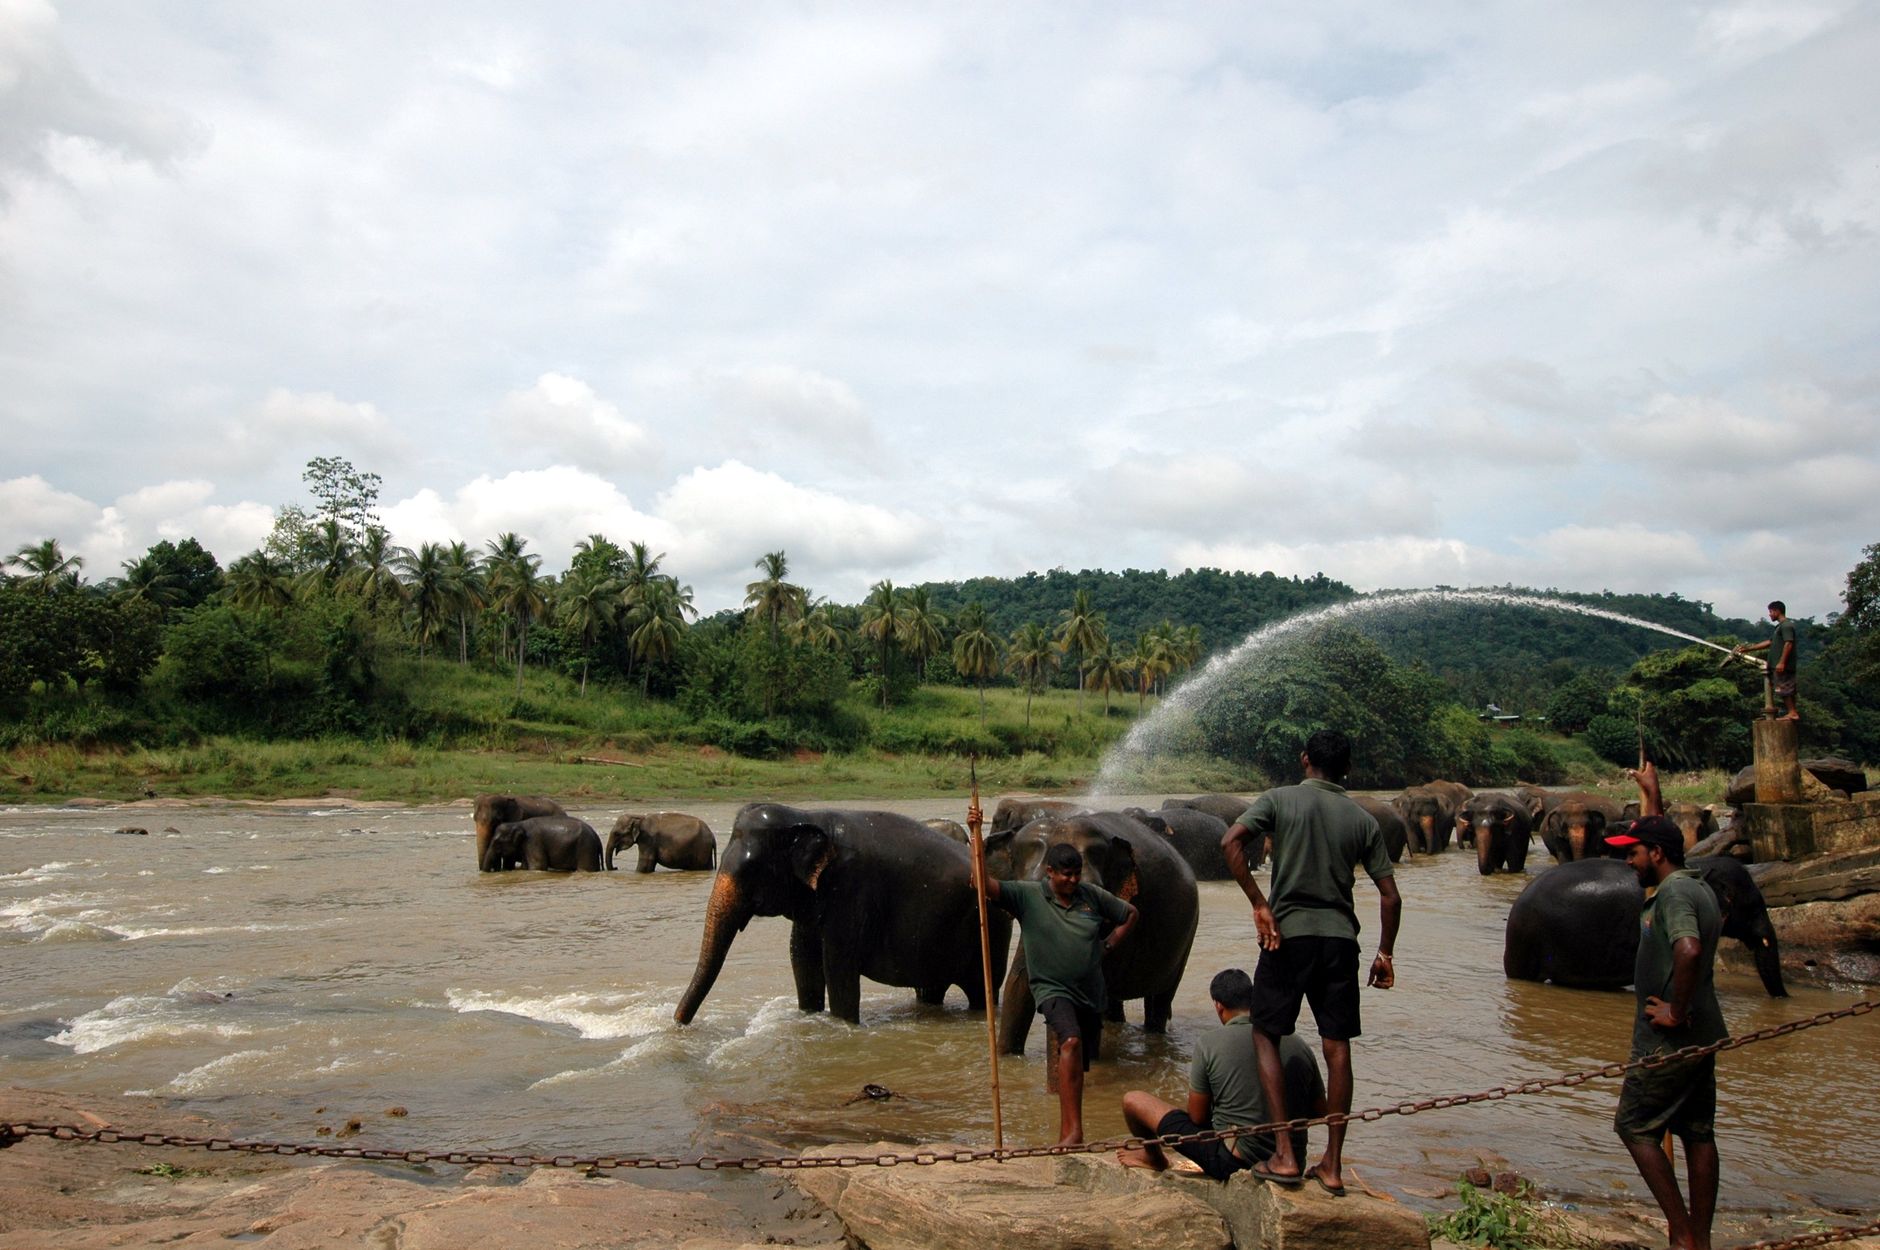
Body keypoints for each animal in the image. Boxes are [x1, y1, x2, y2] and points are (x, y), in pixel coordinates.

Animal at [674, 805, 1012, 1026]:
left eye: (752, 870)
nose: (678, 1024)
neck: (808, 816)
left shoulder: (852, 891)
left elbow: (837, 963)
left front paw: (843, 1026)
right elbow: (802, 959)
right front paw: (809, 1017)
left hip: (991, 932)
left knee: (981, 991)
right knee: (930, 989)